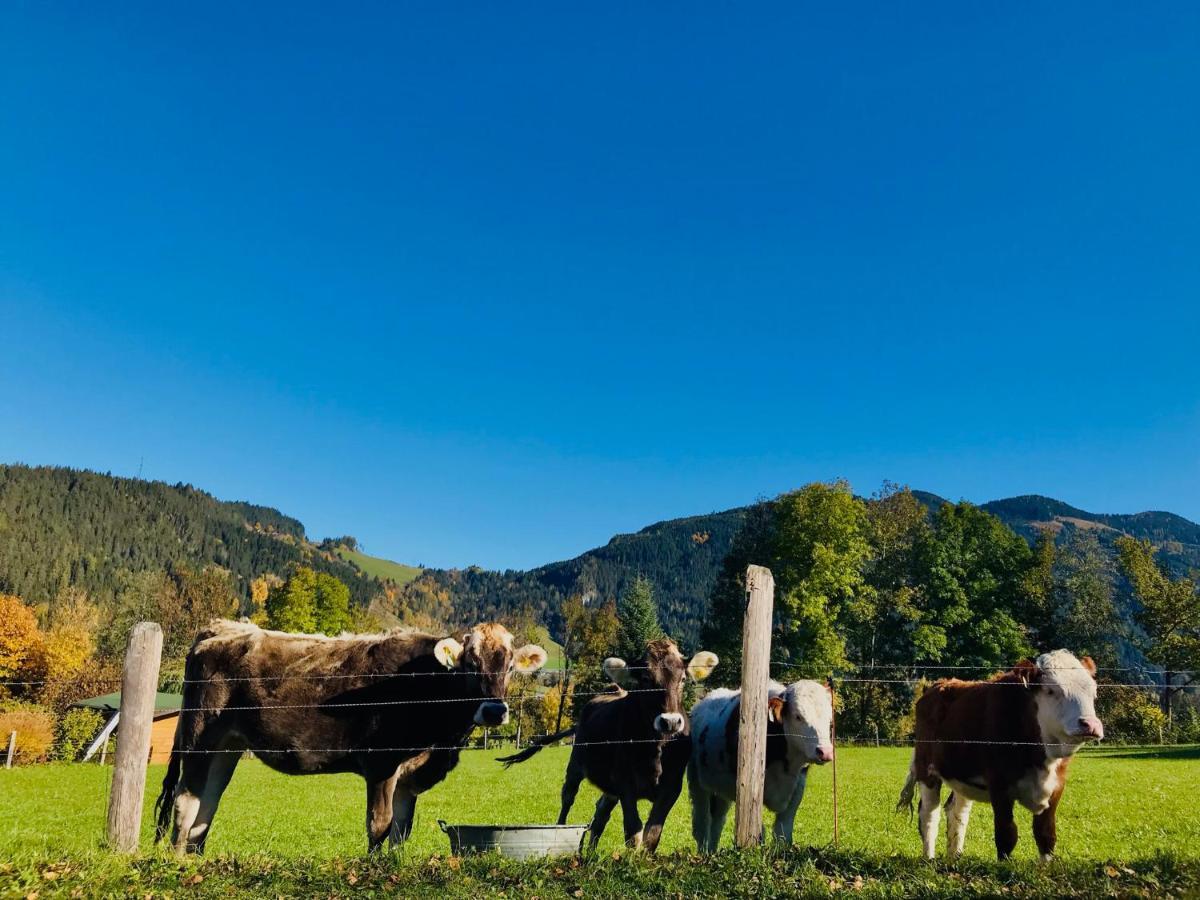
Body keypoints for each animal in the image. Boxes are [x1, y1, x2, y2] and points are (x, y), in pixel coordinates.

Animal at [152, 619, 547, 854]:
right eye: (470, 663)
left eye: (510, 665)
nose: (494, 711)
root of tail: (220, 627)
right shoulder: (382, 763)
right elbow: (379, 826)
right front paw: (374, 871)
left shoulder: (409, 776)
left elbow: (401, 831)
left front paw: (394, 869)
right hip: (200, 737)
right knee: (186, 802)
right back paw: (177, 863)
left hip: (227, 746)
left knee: (208, 804)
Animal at [499, 643, 720, 854]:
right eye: (646, 679)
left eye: (683, 679)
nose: (671, 722)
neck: (655, 747)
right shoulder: (625, 782)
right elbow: (633, 830)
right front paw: (630, 860)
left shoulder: (672, 786)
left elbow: (652, 834)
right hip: (576, 765)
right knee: (568, 799)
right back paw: (561, 832)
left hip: (610, 787)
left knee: (601, 814)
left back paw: (590, 854)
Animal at [686, 681, 835, 854]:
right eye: (798, 716)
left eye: (829, 719)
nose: (825, 751)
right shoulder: (744, 788)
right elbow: (759, 831)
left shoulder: (798, 785)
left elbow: (783, 831)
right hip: (697, 783)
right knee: (702, 822)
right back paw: (703, 853)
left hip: (721, 790)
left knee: (717, 821)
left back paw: (711, 852)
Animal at [897, 652, 1099, 864]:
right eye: (1051, 691)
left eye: (1093, 692)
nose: (1090, 724)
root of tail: (937, 685)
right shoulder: (1000, 785)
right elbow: (1006, 833)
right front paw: (1005, 866)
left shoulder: (1057, 785)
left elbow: (1045, 834)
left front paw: (1045, 867)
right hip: (926, 768)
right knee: (929, 814)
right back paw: (929, 858)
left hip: (962, 774)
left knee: (957, 811)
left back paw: (954, 858)